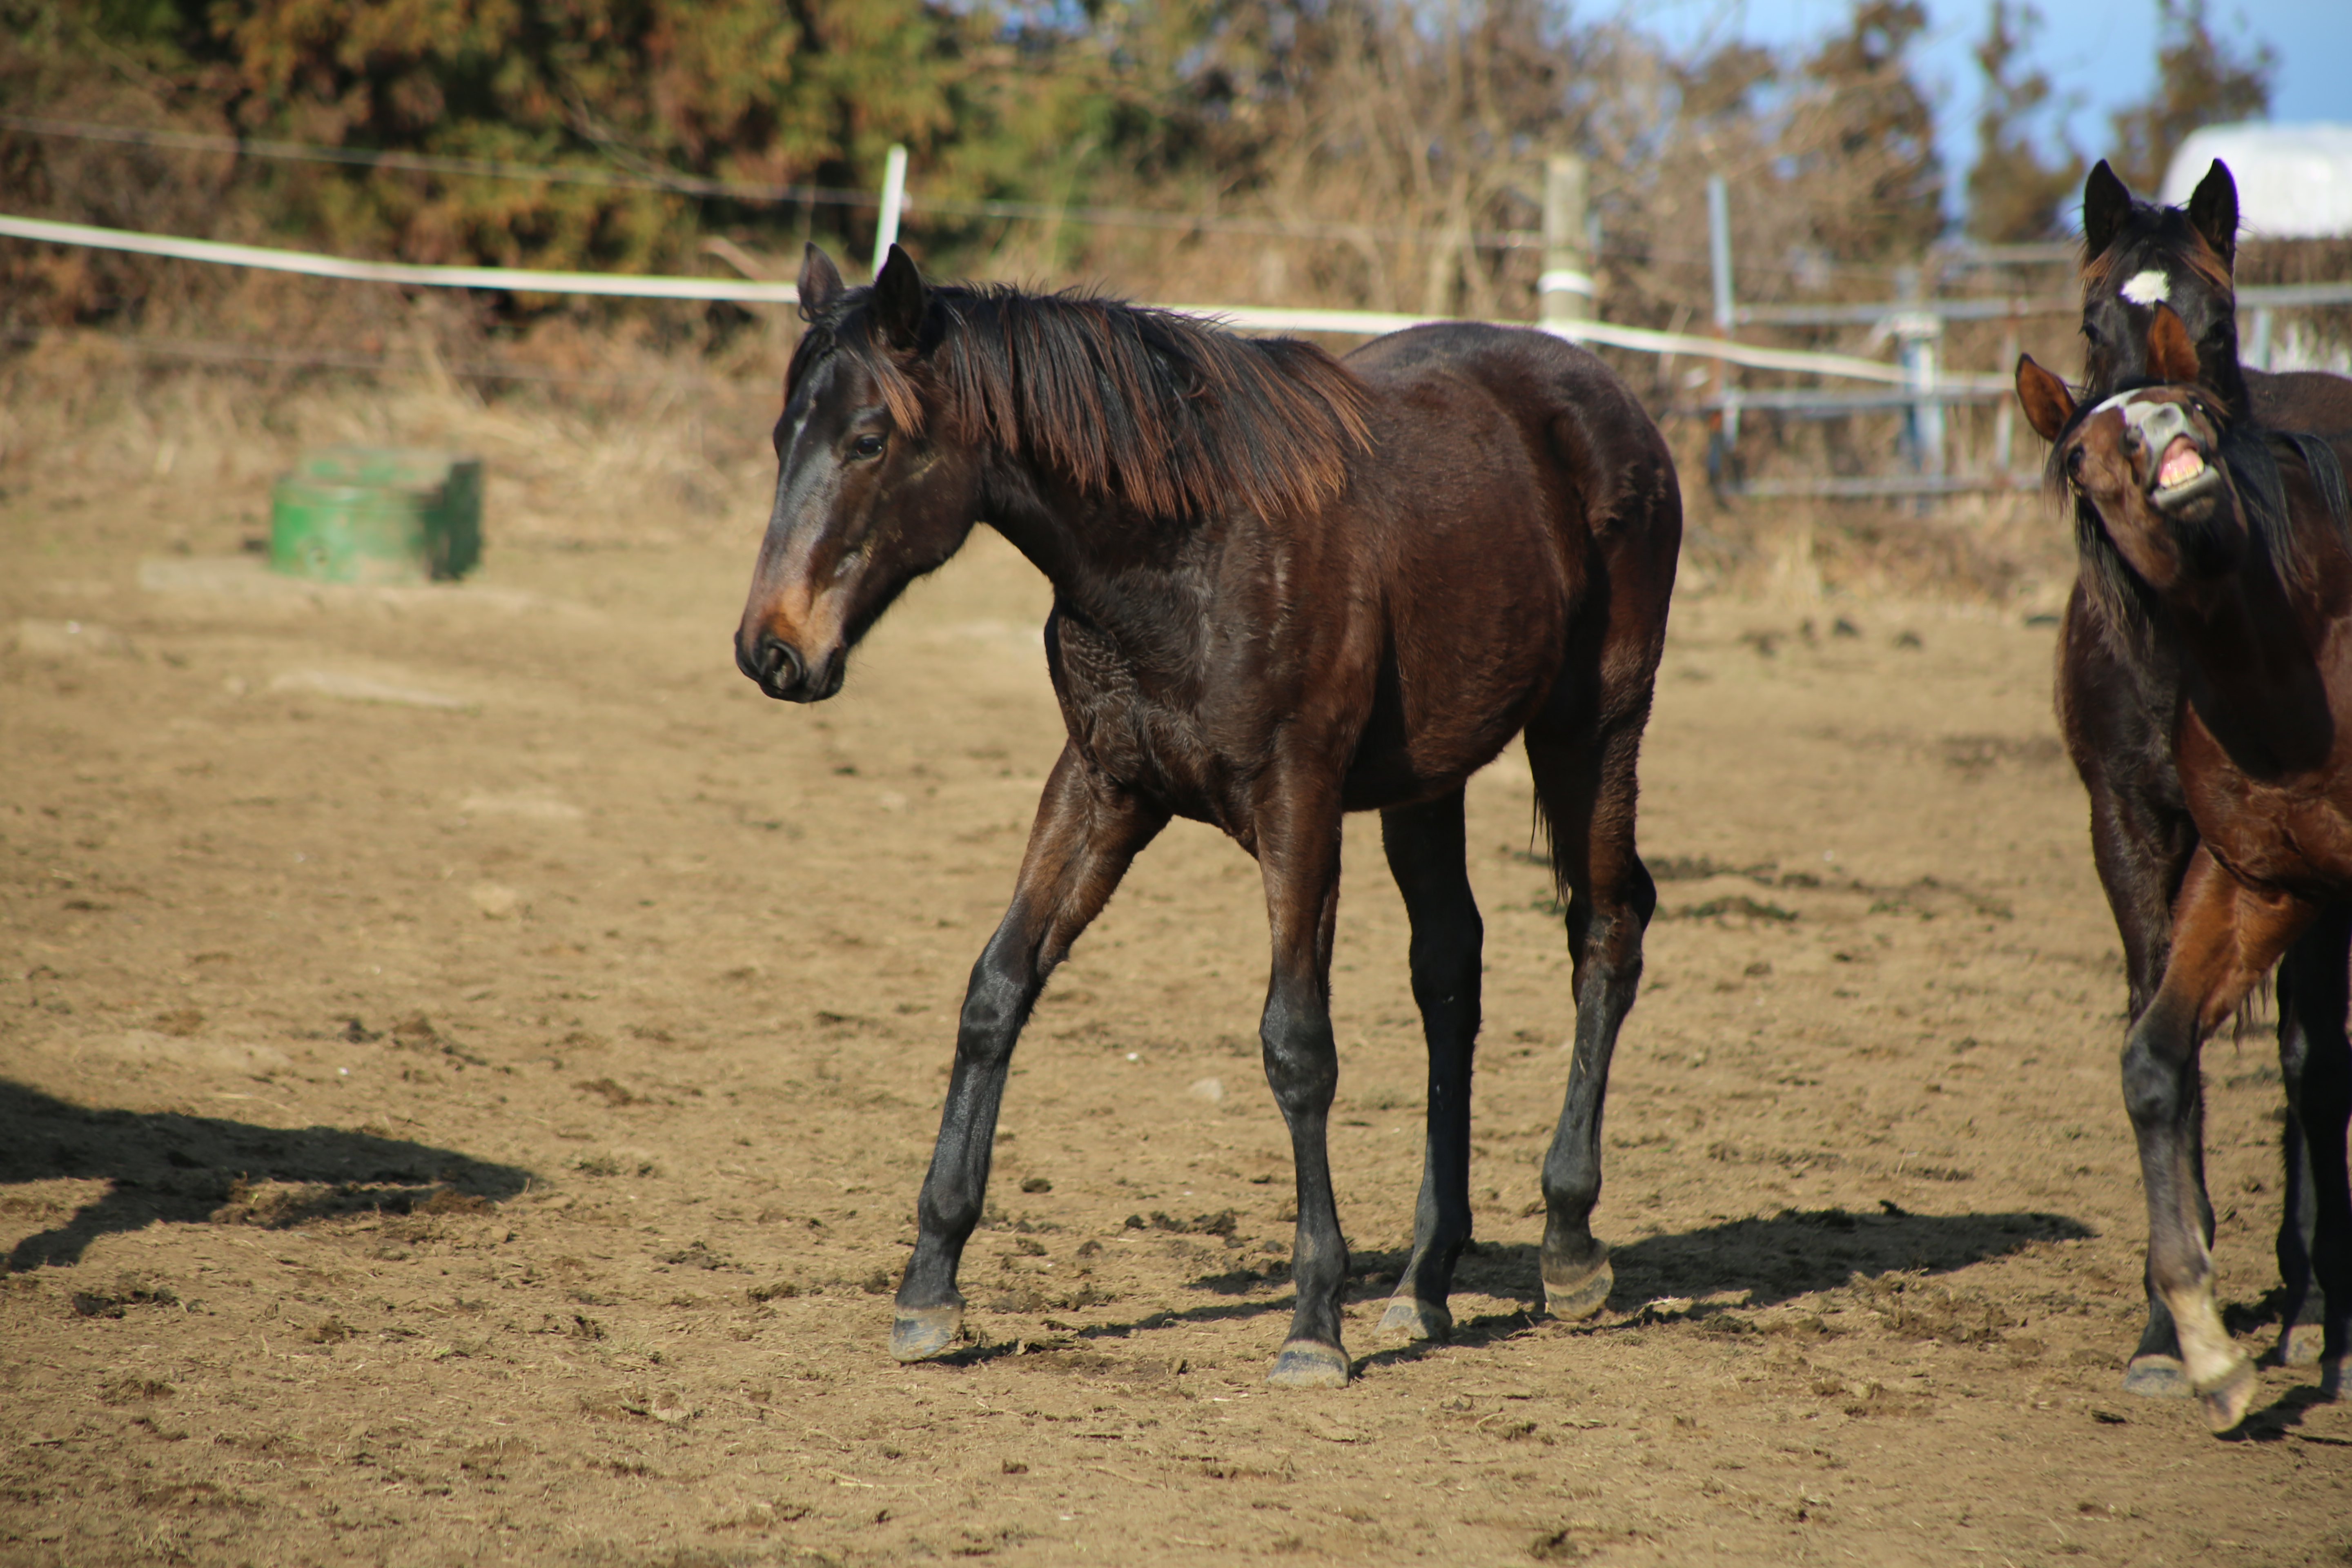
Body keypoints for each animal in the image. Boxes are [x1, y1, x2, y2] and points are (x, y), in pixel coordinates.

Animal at [743, 245, 1684, 1382]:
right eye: (783, 436)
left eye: (869, 440)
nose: (772, 650)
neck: (1185, 549)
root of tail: (1610, 397)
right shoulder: (1102, 784)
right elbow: (996, 990)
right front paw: (928, 1287)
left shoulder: (1297, 805)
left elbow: (1297, 1045)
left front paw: (1312, 1322)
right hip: (1428, 782)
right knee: (1449, 972)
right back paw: (1423, 1282)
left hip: (1595, 726)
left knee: (1606, 926)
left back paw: (1569, 1243)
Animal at [2022, 305, 2352, 1439]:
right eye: (2081, 456)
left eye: (2193, 404)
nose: (2162, 427)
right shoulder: (2257, 876)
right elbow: (2156, 1059)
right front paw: (2198, 1348)